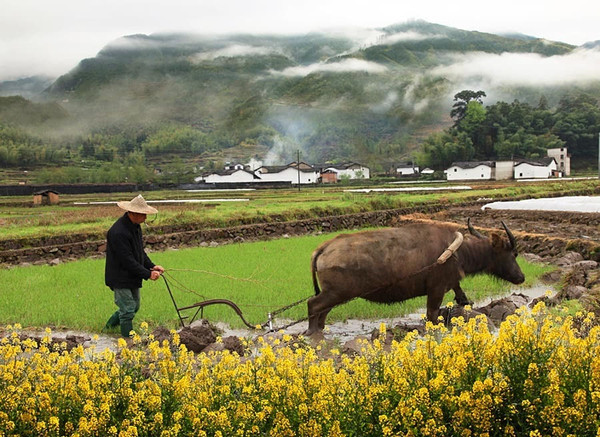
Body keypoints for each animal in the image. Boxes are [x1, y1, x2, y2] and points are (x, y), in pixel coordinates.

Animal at [308, 220, 524, 336]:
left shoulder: (451, 283)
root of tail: (324, 247)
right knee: (313, 305)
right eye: (513, 253)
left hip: (335, 295)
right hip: (336, 293)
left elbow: (461, 295)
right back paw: (311, 332)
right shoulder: (436, 290)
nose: (521, 277)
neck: (457, 251)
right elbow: (432, 315)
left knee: (322, 312)